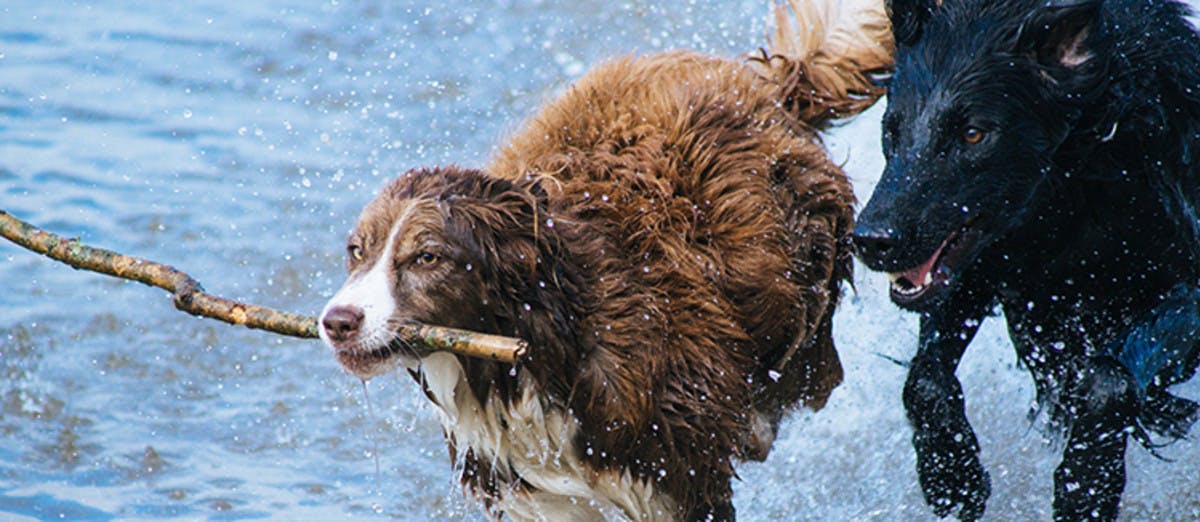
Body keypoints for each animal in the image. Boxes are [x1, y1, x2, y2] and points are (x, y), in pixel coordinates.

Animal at [319, 2, 892, 520]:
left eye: (427, 256)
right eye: (357, 251)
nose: (337, 322)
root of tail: (768, 84)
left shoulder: (679, 472)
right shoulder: (537, 493)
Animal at [859, 0, 1200, 520]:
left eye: (973, 134)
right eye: (891, 128)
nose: (872, 239)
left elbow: (1109, 378)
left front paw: (1087, 484)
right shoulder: (979, 264)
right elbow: (924, 380)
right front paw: (952, 475)